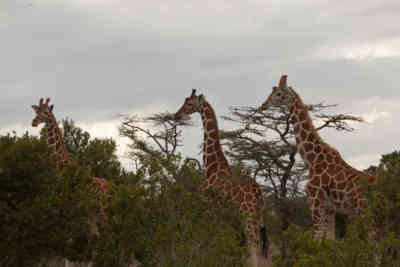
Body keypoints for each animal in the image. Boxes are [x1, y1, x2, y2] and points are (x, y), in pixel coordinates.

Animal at [31, 98, 111, 267]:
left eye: (46, 112)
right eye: (35, 111)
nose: (34, 122)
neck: (62, 167)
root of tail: (110, 187)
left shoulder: (71, 207)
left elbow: (70, 241)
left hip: (103, 212)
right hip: (94, 214)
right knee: (99, 241)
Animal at [174, 90, 266, 267]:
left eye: (189, 103)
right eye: (185, 100)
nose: (176, 115)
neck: (211, 164)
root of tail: (258, 193)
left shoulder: (207, 204)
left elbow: (210, 239)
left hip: (247, 214)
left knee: (253, 245)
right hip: (257, 216)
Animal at [258, 75, 376, 241]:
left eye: (278, 94)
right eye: (272, 91)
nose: (263, 105)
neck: (312, 159)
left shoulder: (315, 203)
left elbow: (317, 239)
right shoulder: (330, 209)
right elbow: (330, 240)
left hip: (365, 212)